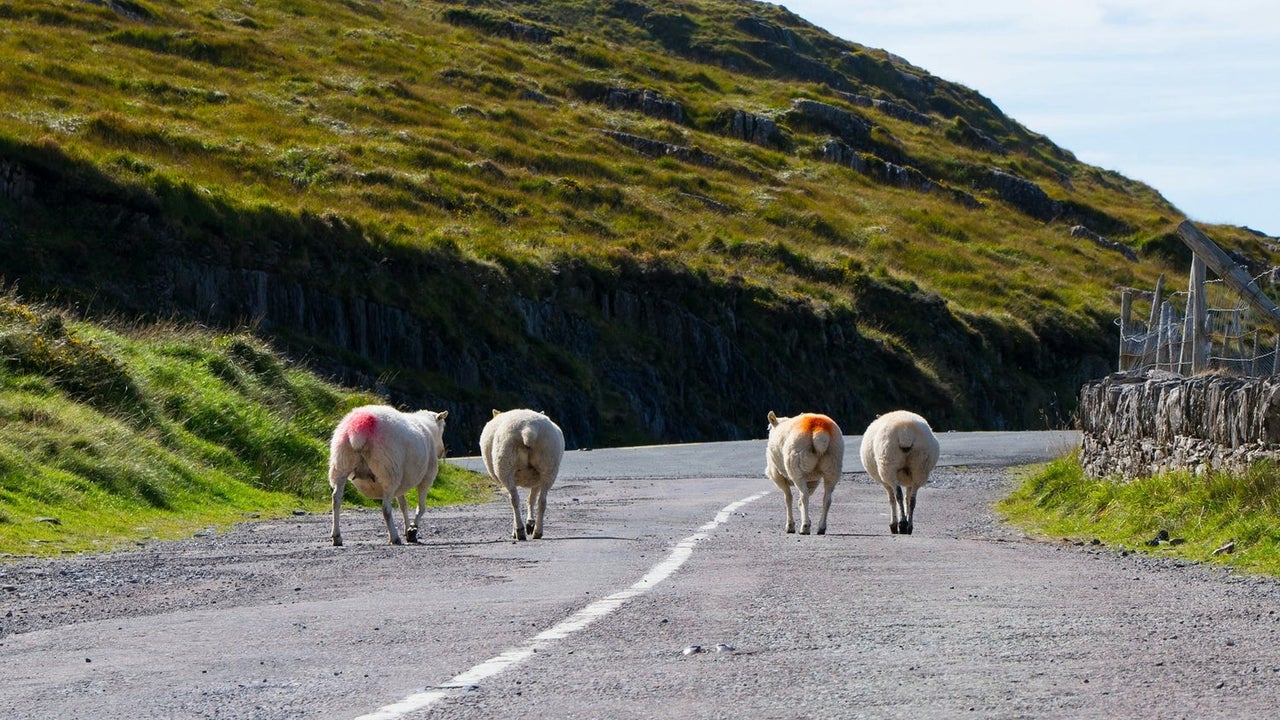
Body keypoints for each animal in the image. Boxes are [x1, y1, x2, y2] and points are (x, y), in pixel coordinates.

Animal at [328, 405, 448, 547]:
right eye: (443, 426)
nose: (442, 452)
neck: (428, 428)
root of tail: (358, 429)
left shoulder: (401, 483)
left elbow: (403, 506)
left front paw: (407, 529)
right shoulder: (427, 477)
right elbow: (421, 508)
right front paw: (412, 530)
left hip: (340, 464)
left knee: (336, 499)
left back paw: (337, 537)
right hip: (389, 471)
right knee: (385, 508)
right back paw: (394, 538)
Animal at [480, 408, 565, 540]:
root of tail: (528, 430)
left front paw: (519, 529)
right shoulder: (536, 480)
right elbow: (531, 499)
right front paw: (530, 523)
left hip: (505, 464)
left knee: (514, 499)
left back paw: (519, 531)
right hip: (549, 465)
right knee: (542, 501)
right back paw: (537, 531)